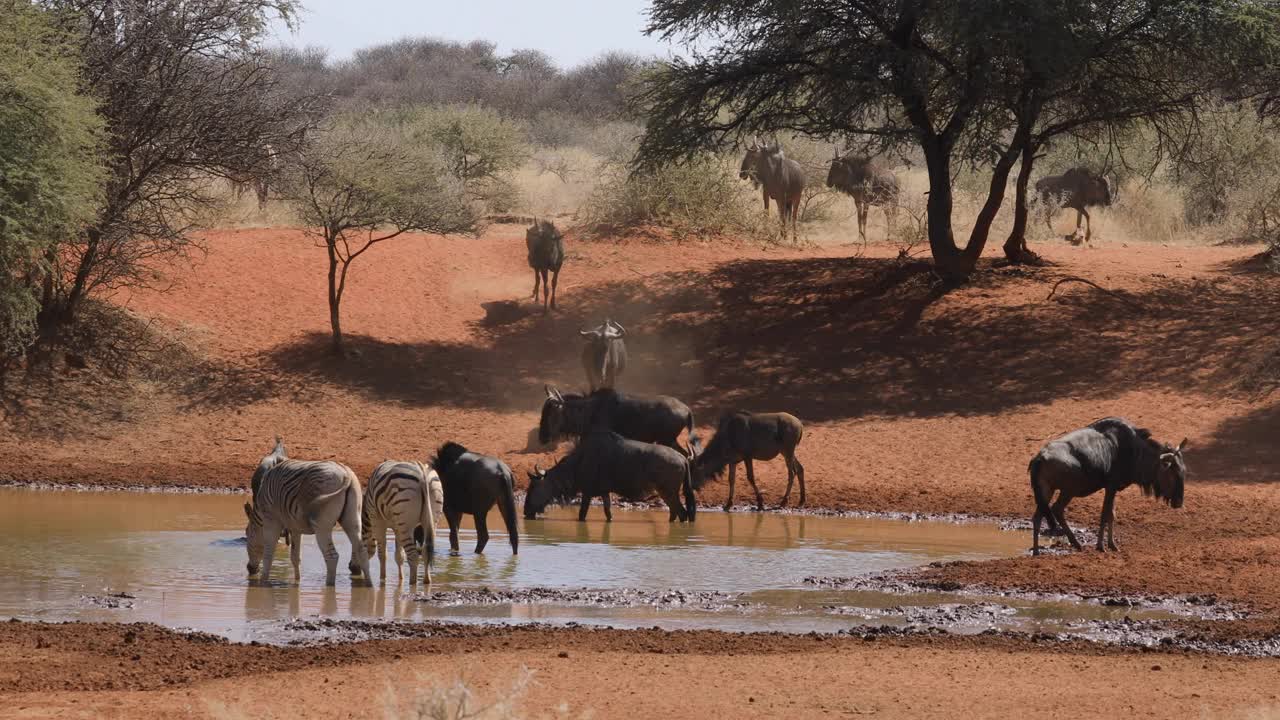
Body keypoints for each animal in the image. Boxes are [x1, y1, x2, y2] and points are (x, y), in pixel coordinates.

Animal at [241, 438, 371, 584]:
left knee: (332, 557)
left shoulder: (271, 521)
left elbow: (268, 555)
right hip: (353, 518)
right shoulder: (295, 527)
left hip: (321, 526)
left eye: (248, 534)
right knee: (362, 550)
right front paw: (297, 582)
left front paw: (263, 582)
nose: (250, 569)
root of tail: (346, 473)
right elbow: (295, 557)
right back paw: (369, 584)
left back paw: (329, 585)